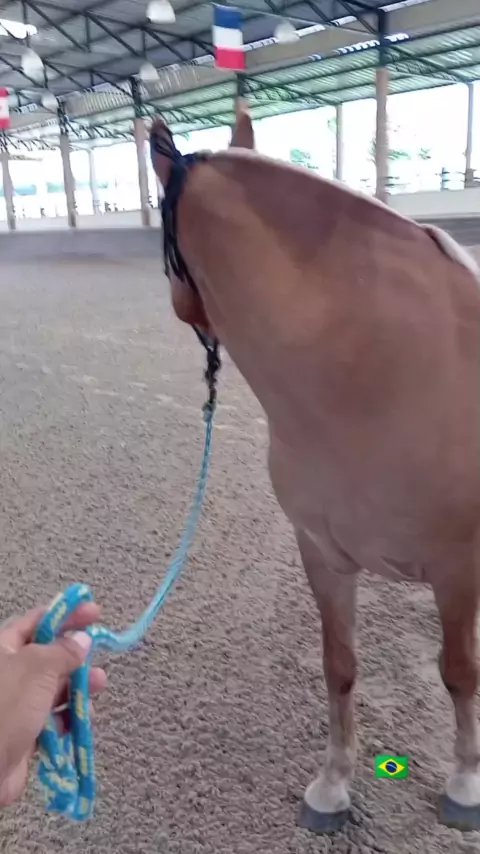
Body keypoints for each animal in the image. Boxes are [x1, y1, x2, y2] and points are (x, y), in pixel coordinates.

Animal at [150, 108, 480, 834]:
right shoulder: (324, 555)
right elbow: (340, 667)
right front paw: (332, 787)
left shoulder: (458, 567)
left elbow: (459, 670)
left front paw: (466, 785)